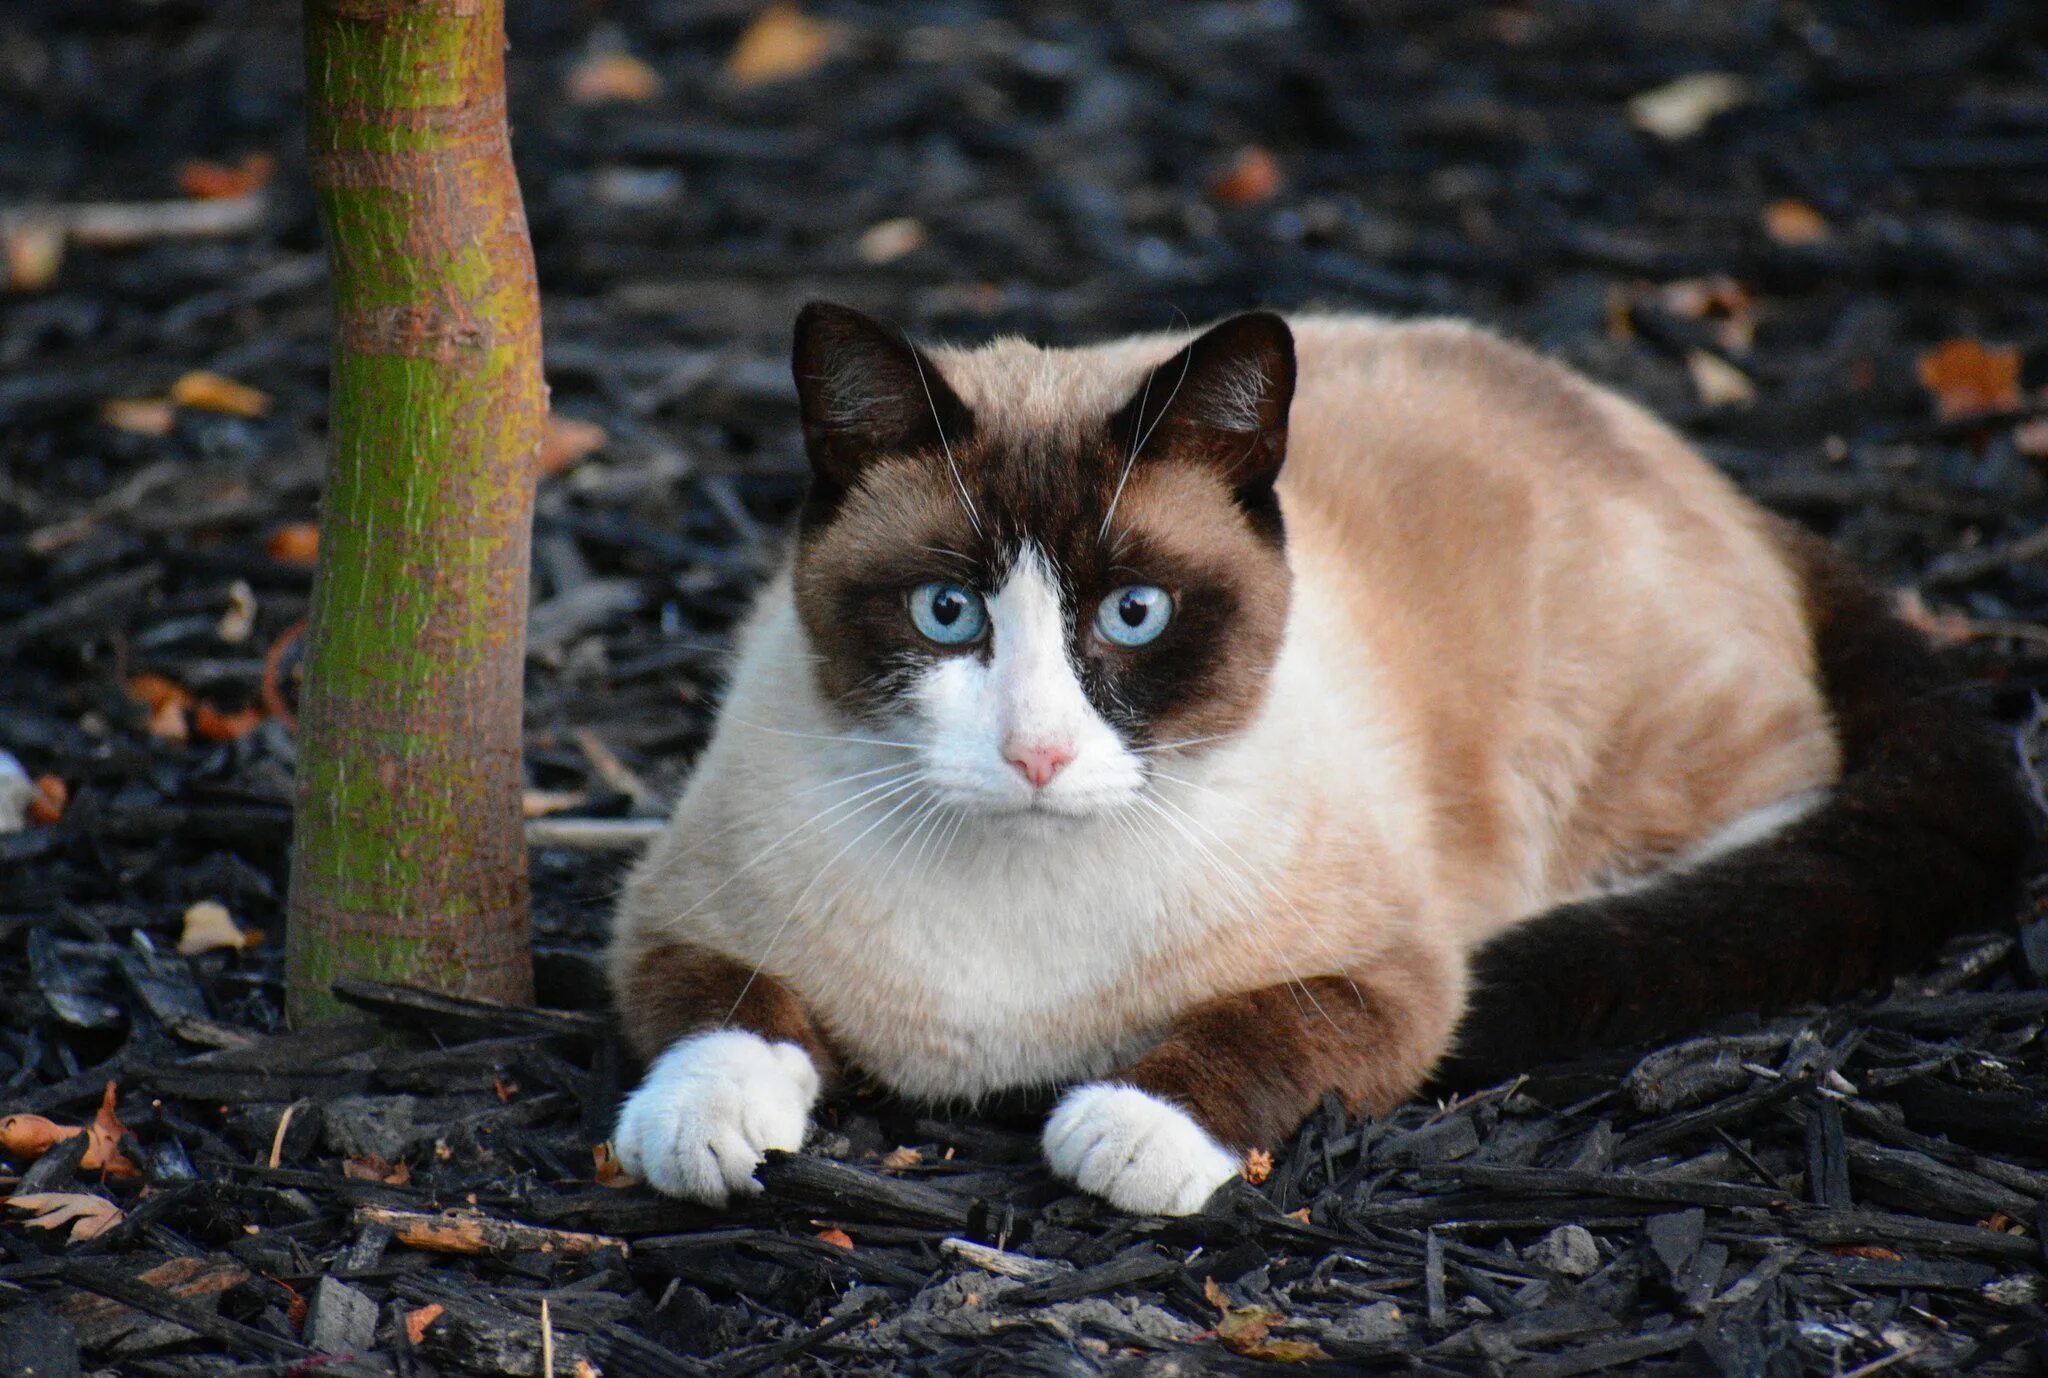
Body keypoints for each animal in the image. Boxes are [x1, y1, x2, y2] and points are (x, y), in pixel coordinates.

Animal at [598, 303, 2031, 1212]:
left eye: (1135, 614)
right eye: (946, 612)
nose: (1038, 752)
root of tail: (1712, 473)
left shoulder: (1390, 978)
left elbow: (1262, 1031)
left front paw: (1128, 1130)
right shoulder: (669, 915)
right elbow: (724, 1009)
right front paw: (702, 1128)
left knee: (1775, 823)